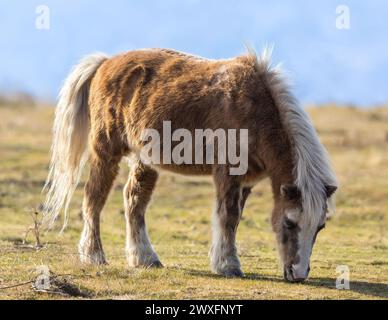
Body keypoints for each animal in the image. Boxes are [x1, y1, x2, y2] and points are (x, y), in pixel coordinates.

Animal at [44, 47, 338, 282]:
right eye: (289, 223)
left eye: (320, 227)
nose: (298, 274)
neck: (254, 111)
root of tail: (105, 62)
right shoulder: (227, 173)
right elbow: (228, 216)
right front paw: (228, 266)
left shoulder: (247, 181)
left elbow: (235, 219)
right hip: (106, 152)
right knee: (93, 199)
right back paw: (93, 255)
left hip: (145, 159)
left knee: (133, 202)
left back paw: (145, 258)